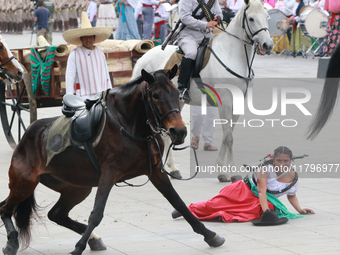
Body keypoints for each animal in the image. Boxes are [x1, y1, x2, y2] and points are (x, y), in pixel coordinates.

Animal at [0, 66, 226, 255]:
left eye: (176, 94)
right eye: (155, 96)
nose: (178, 132)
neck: (130, 124)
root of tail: (28, 135)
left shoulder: (155, 171)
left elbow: (178, 202)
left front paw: (209, 234)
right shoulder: (109, 173)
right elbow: (96, 213)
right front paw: (78, 248)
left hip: (76, 187)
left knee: (56, 214)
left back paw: (92, 238)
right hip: (24, 183)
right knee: (5, 209)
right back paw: (12, 241)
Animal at [131, 0, 272, 181]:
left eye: (267, 16)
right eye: (251, 18)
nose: (268, 45)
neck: (231, 54)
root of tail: (145, 55)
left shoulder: (236, 105)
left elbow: (227, 136)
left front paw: (221, 170)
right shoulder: (225, 104)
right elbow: (229, 138)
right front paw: (233, 172)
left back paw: (171, 168)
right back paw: (168, 167)